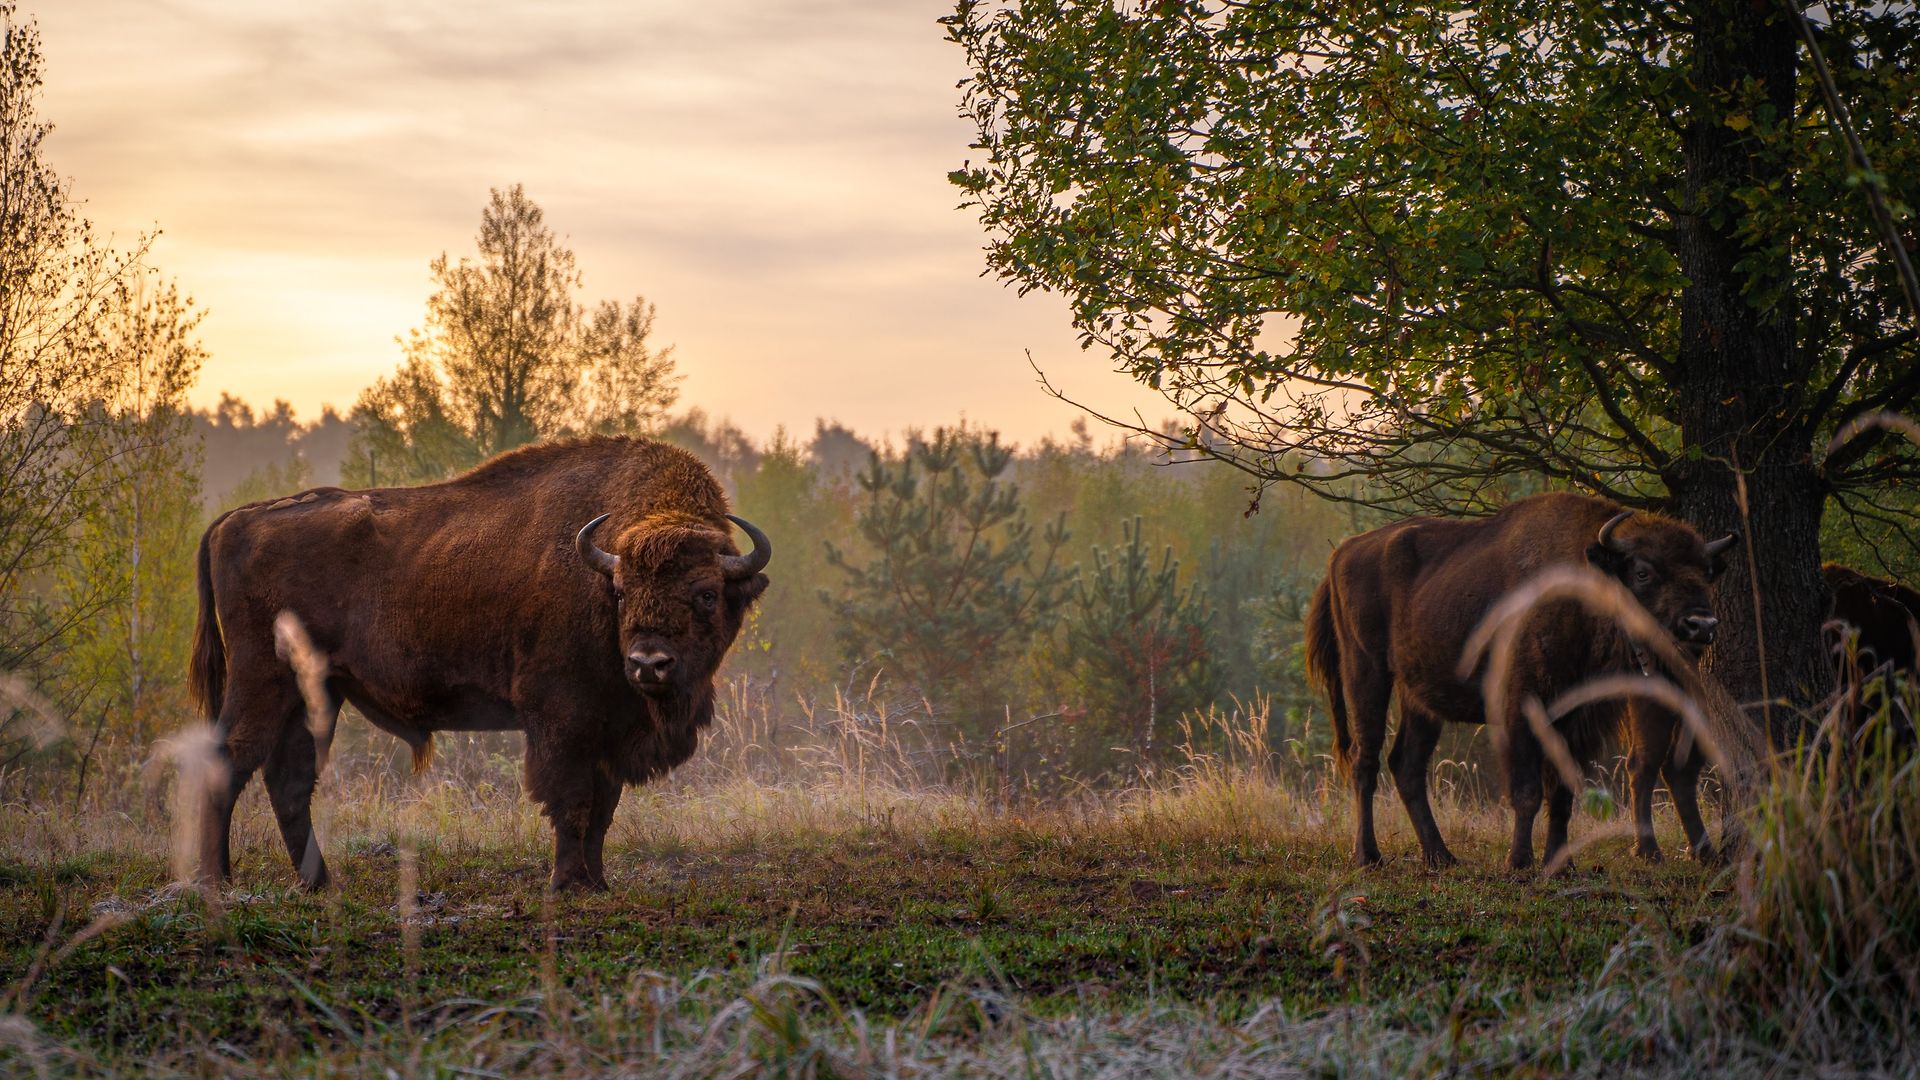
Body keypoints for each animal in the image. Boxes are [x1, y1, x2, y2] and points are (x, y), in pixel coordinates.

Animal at [189, 436, 770, 891]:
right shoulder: (562, 719)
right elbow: (571, 801)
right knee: (230, 759)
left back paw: (318, 884)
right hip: (262, 680)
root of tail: (234, 520)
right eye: (622, 592)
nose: (649, 664)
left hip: (313, 693)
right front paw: (567, 884)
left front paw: (598, 883)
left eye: (706, 594)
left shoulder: (612, 730)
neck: (598, 568)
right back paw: (216, 880)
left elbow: (602, 810)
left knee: (287, 778)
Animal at [1306, 492, 1735, 871]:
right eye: (1643, 571)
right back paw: (1369, 856)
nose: (1701, 625)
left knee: (1406, 765)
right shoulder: (1520, 709)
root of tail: (1342, 553)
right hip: (1366, 673)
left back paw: (1441, 857)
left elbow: (1561, 793)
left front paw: (1561, 865)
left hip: (1420, 699)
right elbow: (1527, 790)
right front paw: (1519, 861)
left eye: (1706, 573)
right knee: (1365, 760)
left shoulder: (1573, 718)